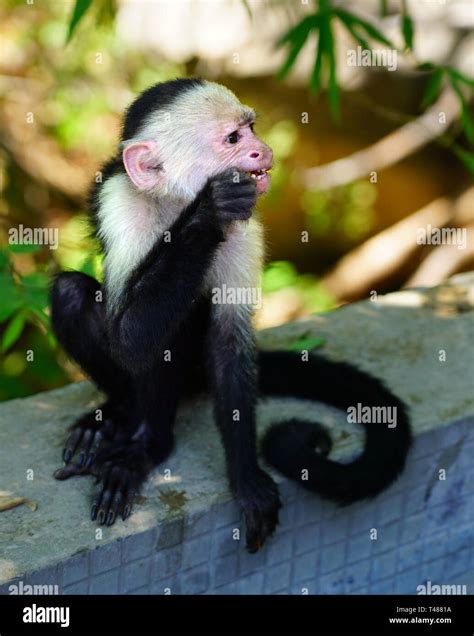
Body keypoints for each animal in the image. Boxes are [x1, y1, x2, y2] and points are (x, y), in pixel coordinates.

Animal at [50, 79, 410, 552]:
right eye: (234, 139)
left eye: (251, 128)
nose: (263, 150)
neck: (175, 202)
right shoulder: (121, 204)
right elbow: (126, 337)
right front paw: (210, 209)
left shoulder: (245, 224)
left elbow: (227, 343)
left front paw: (246, 479)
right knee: (78, 297)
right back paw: (129, 427)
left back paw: (147, 443)